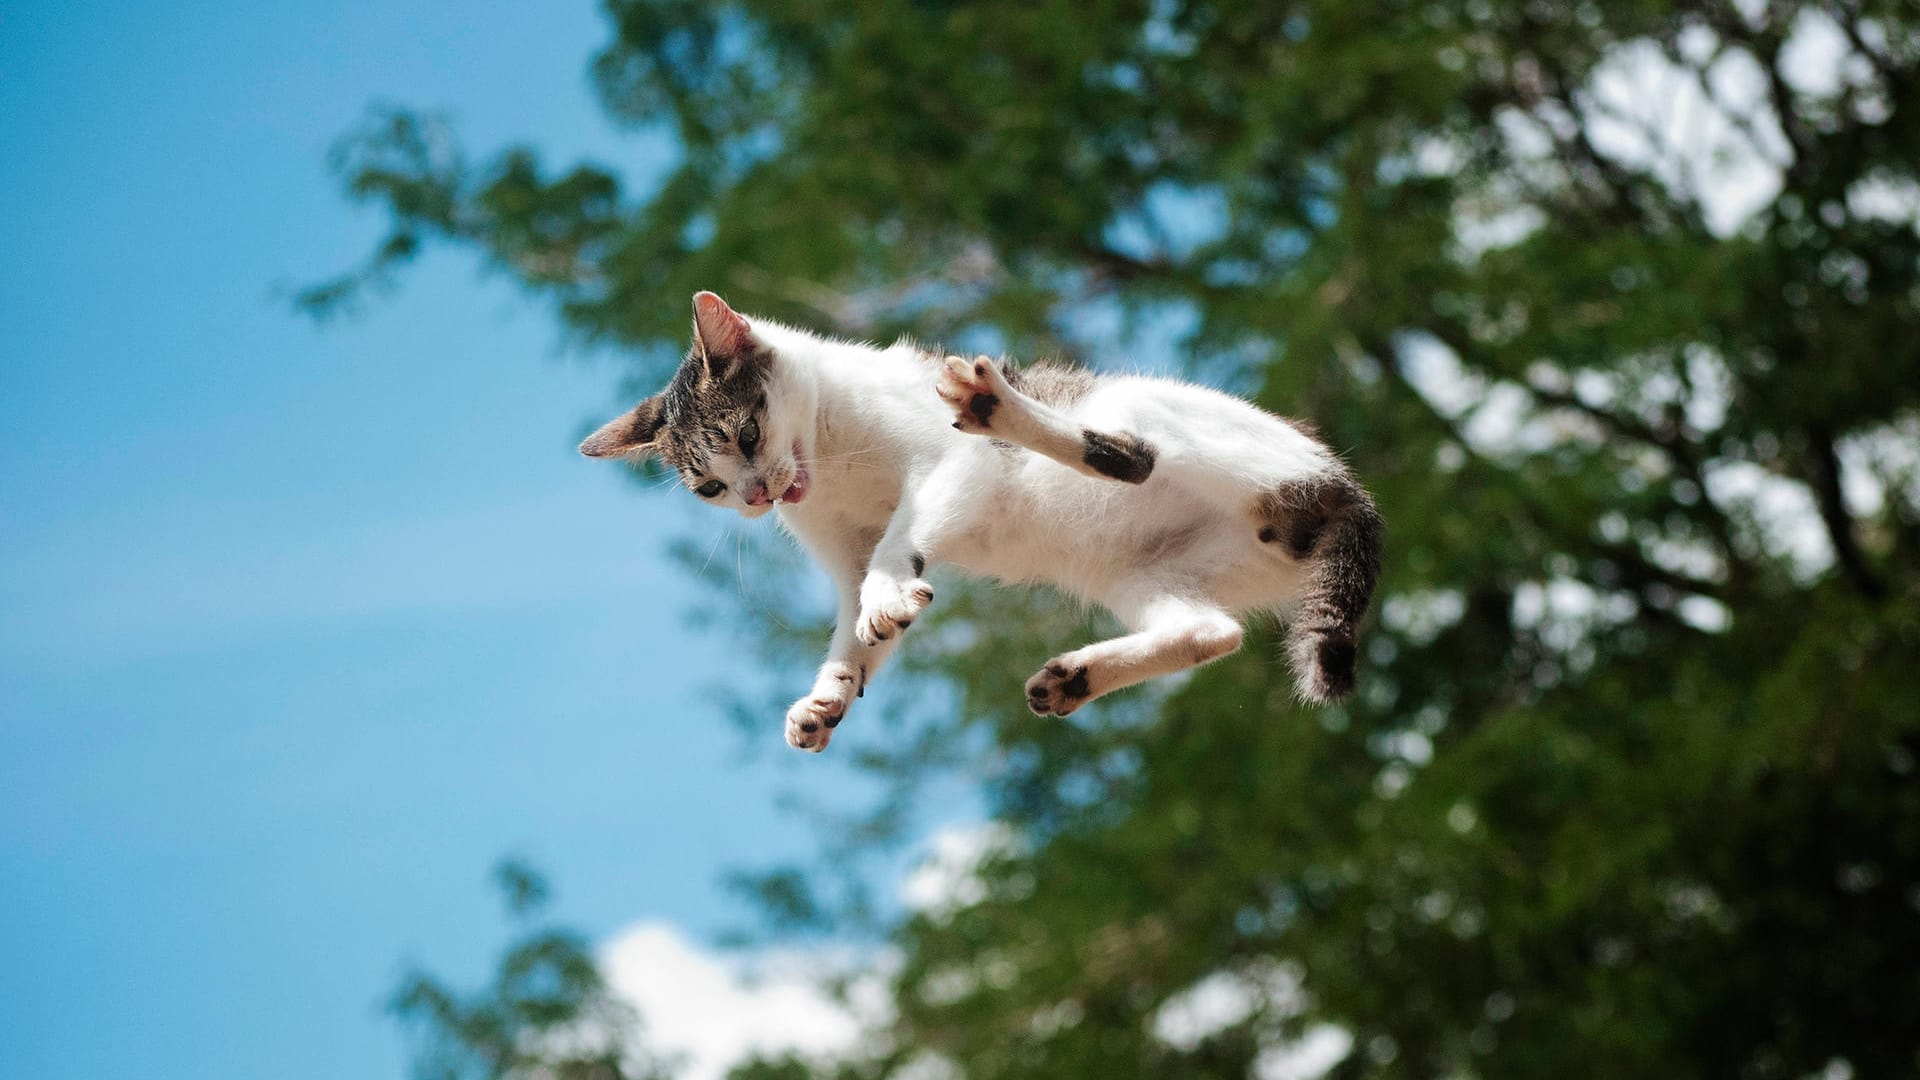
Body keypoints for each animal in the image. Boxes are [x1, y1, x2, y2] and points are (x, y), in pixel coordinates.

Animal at [572, 290, 1382, 753]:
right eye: (709, 487)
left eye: (744, 434)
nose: (756, 498)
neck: (832, 463)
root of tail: (1346, 488)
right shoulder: (840, 553)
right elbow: (852, 626)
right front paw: (830, 696)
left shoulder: (952, 468)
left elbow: (901, 538)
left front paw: (887, 595)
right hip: (1144, 573)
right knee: (1212, 632)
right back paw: (1073, 678)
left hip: (1139, 410)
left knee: (1134, 455)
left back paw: (997, 406)